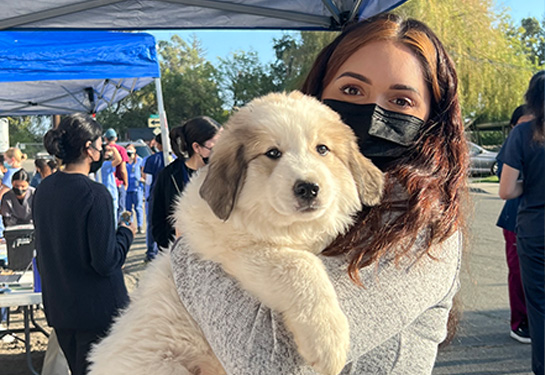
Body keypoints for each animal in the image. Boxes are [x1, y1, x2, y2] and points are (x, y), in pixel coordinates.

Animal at [87, 92, 382, 375]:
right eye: (272, 153)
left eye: (322, 149)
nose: (308, 188)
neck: (285, 226)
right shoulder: (239, 251)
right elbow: (300, 264)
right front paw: (328, 341)